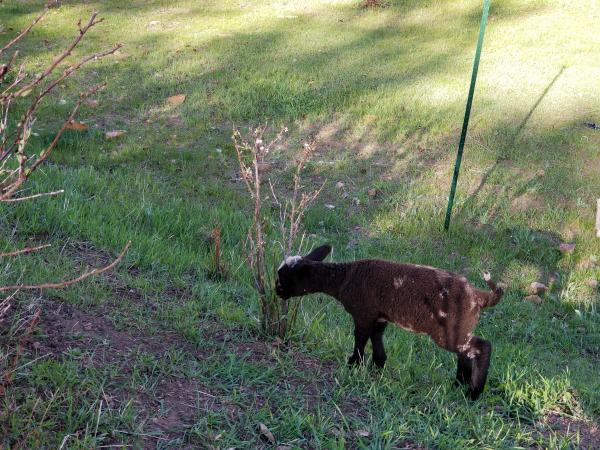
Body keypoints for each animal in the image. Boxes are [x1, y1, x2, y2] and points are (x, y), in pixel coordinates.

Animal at [276, 244, 506, 400]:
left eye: (284, 278)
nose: (276, 292)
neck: (343, 278)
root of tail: (479, 296)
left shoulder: (363, 313)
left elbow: (360, 339)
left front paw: (353, 364)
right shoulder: (379, 317)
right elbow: (376, 339)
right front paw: (378, 366)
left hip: (449, 330)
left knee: (482, 347)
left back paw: (474, 393)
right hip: (460, 328)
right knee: (465, 354)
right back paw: (458, 385)